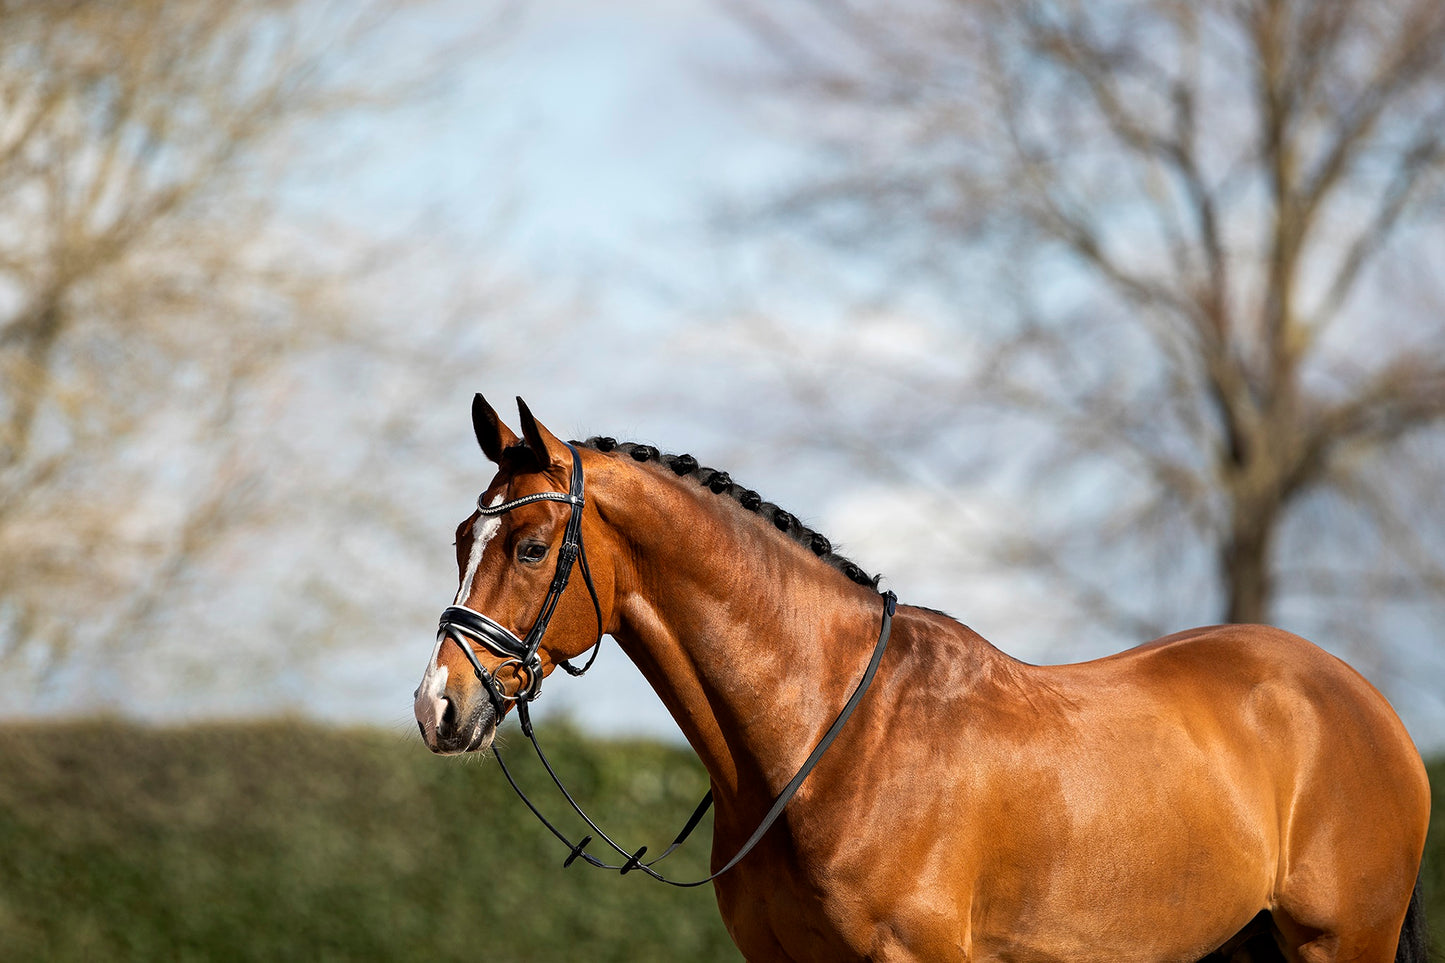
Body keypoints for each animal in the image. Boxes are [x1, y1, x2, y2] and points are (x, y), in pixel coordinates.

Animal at [413, 393, 1427, 954]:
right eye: (464, 537)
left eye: (532, 546)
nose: (438, 706)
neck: (829, 739)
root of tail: (1365, 702)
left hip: (1340, 942)